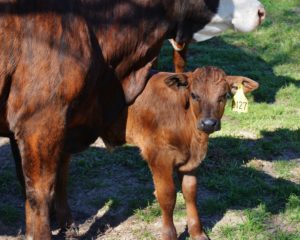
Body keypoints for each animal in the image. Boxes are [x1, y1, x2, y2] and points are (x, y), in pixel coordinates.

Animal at [101, 66, 260, 240]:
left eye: (224, 95)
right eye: (194, 95)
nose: (208, 123)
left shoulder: (191, 162)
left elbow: (190, 192)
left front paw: (197, 233)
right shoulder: (158, 156)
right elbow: (167, 196)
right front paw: (169, 235)